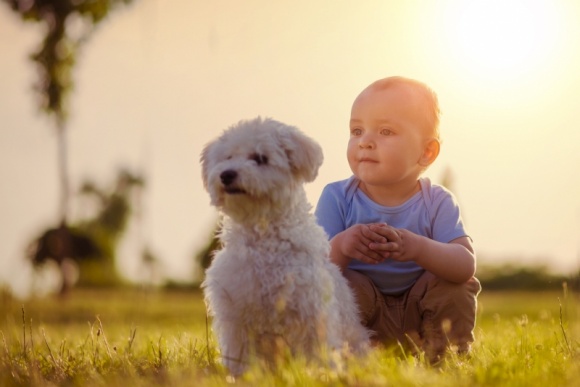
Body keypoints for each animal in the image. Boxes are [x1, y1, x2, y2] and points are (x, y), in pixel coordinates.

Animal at [202, 118, 370, 376]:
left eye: (261, 158)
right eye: (227, 157)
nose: (226, 174)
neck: (263, 236)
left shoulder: (310, 310)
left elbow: (314, 350)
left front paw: (317, 374)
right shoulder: (236, 315)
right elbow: (241, 353)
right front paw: (242, 376)